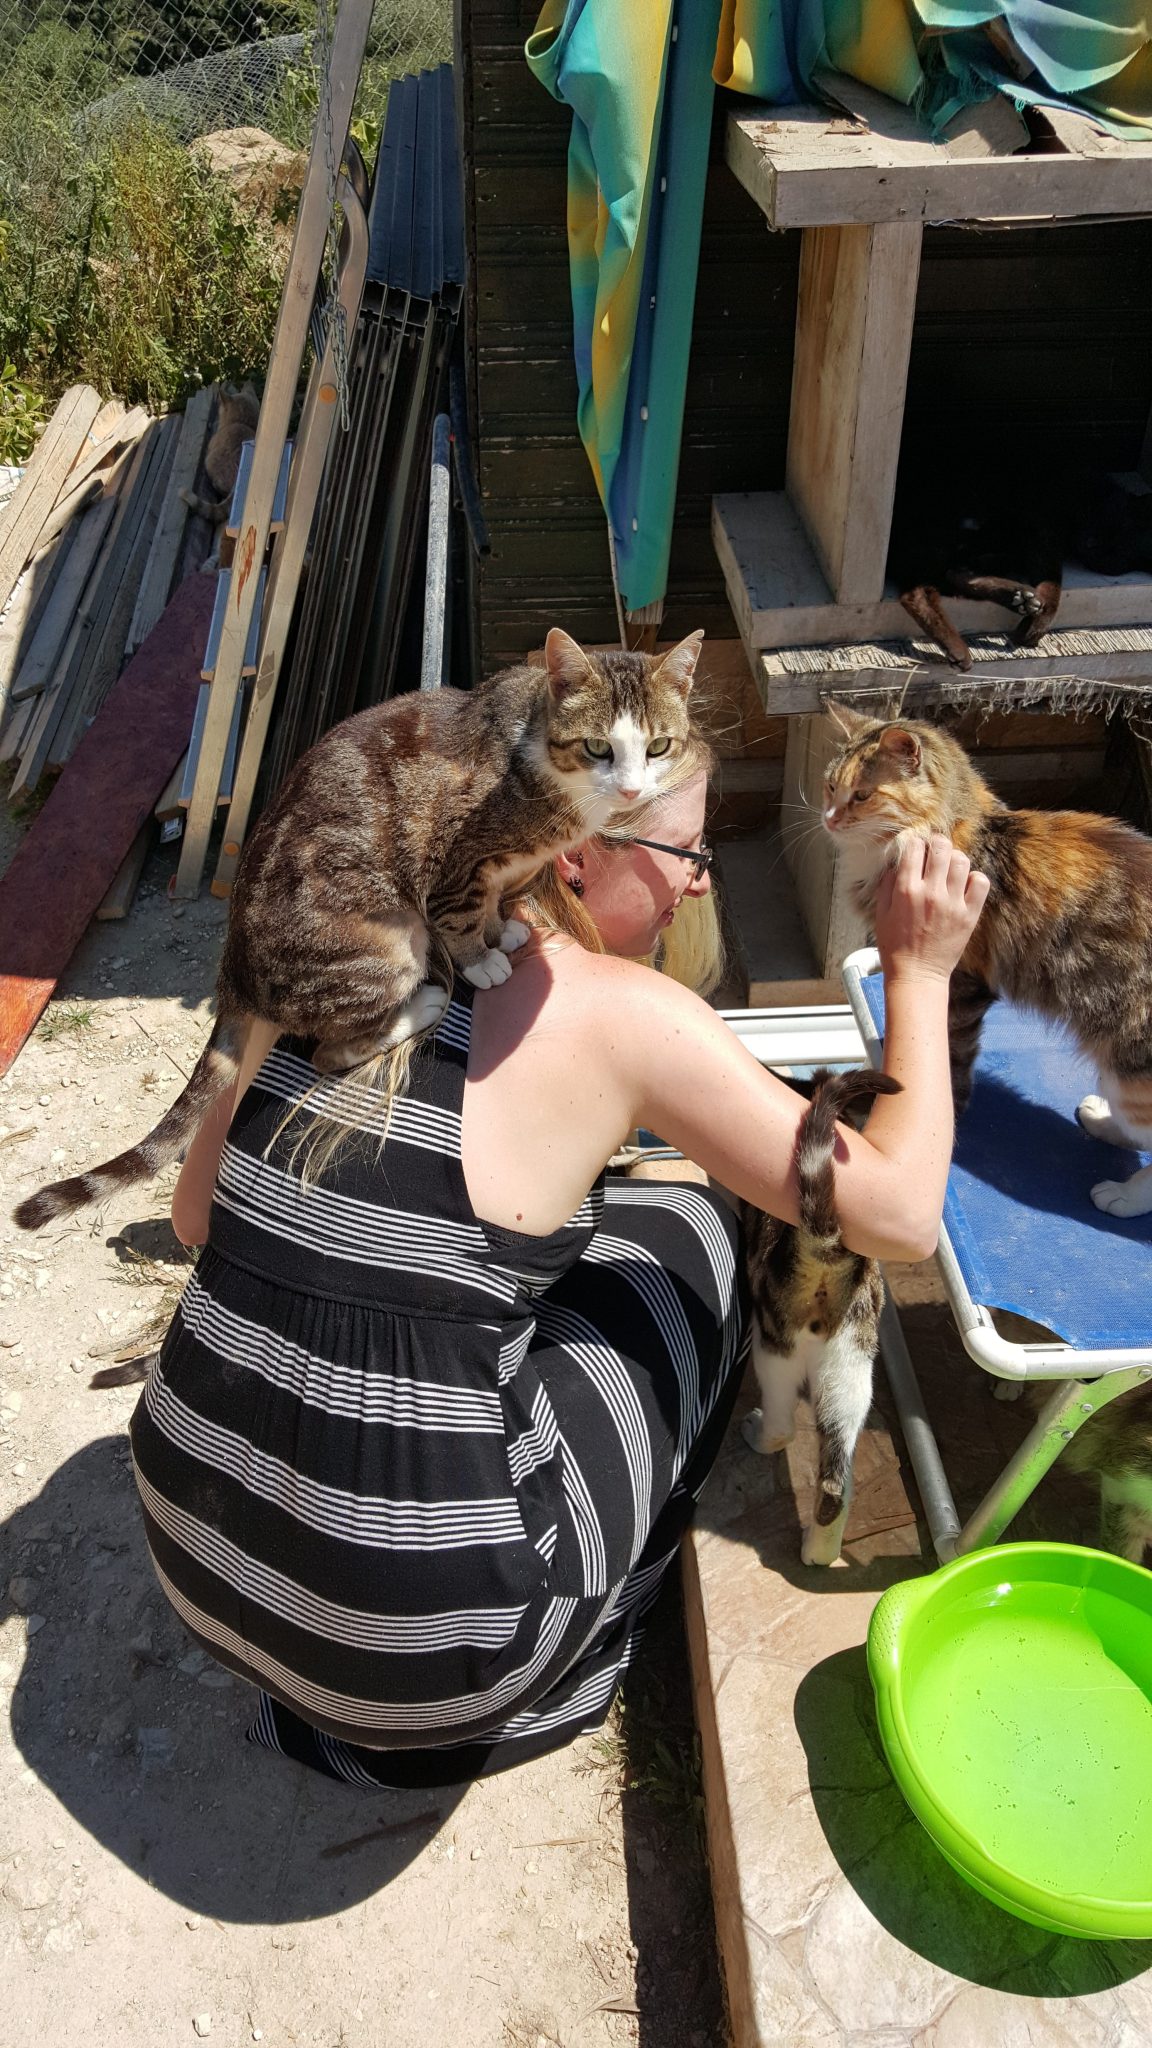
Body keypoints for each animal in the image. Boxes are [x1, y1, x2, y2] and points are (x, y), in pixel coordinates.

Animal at [13, 622, 705, 1228]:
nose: (631, 790)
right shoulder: (452, 858)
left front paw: (503, 930)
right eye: (598, 747)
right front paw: (482, 958)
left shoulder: (512, 868)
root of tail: (234, 969)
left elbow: (500, 900)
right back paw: (424, 1002)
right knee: (331, 1048)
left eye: (658, 747)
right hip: (386, 946)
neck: (541, 767)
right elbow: (460, 912)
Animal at [737, 1064, 901, 1556]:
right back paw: (820, 1549)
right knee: (836, 1482)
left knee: (783, 1425)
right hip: (851, 1358)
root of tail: (825, 1245)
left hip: (774, 1340)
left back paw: (759, 1436)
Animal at [815, 704, 1147, 1212]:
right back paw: (1099, 1118)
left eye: (863, 795)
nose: (829, 819)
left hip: (1131, 1073)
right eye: (831, 787)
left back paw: (1122, 1196)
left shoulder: (964, 983)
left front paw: (946, 1104)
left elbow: (952, 1054)